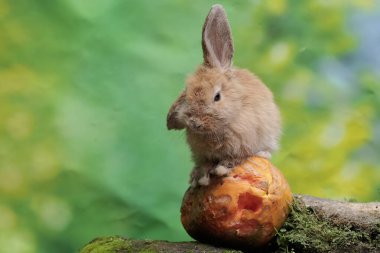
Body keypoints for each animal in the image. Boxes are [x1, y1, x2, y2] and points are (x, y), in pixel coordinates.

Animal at [167, 3, 282, 186]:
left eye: (217, 97)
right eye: (187, 92)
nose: (194, 123)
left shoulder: (243, 144)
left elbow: (236, 158)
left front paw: (221, 168)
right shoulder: (202, 154)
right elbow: (204, 163)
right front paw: (201, 176)